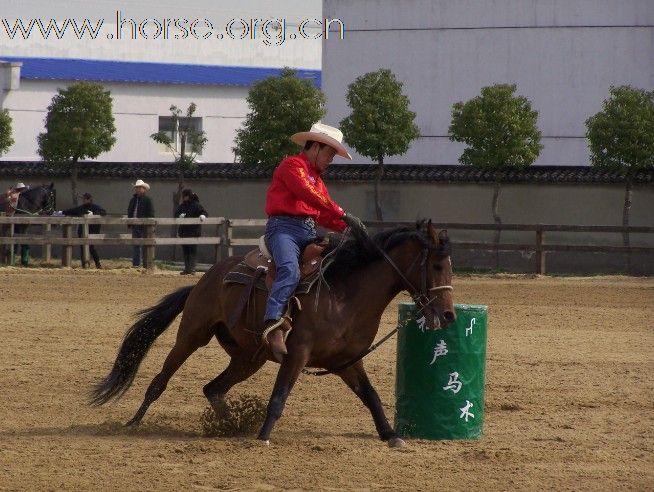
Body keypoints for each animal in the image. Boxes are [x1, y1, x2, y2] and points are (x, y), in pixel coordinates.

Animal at [91, 219, 456, 446]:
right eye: (437, 265)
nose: (450, 315)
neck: (344, 294)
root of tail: (206, 277)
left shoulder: (348, 361)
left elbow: (372, 397)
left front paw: (390, 435)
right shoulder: (297, 354)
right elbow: (279, 397)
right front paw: (264, 435)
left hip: (248, 358)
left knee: (213, 388)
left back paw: (231, 425)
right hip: (192, 335)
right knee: (160, 381)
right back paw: (133, 423)